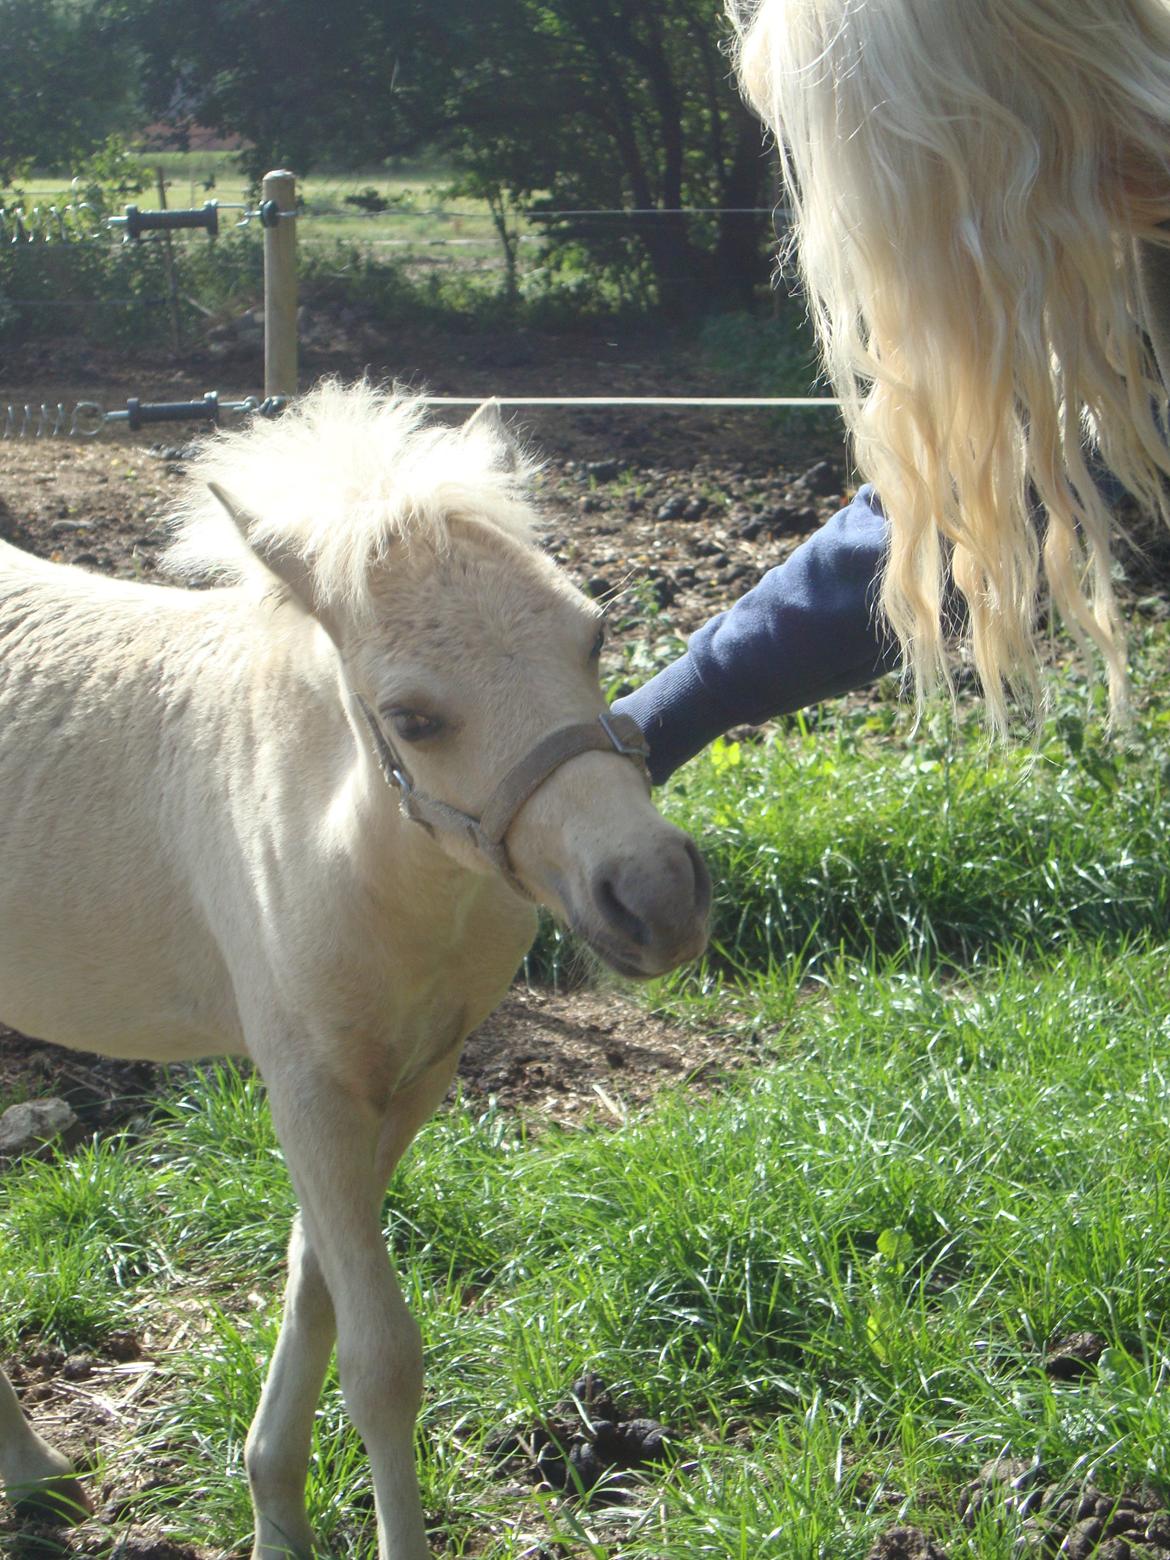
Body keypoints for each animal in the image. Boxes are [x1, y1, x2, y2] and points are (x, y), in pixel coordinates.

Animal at [0, 382, 711, 1560]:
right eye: (413, 719)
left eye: (595, 633)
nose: (658, 898)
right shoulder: (308, 1084)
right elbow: (382, 1359)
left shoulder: (411, 1077)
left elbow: (316, 1291)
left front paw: (274, 1505)